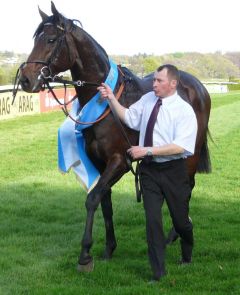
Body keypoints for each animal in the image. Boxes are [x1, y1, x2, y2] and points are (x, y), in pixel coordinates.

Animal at [18, 1, 210, 272]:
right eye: (36, 38)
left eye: (51, 39)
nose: (25, 79)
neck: (106, 103)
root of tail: (199, 86)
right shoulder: (100, 163)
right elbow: (105, 203)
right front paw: (108, 248)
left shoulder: (120, 161)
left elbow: (92, 199)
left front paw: (85, 254)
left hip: (189, 151)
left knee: (186, 187)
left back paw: (175, 234)